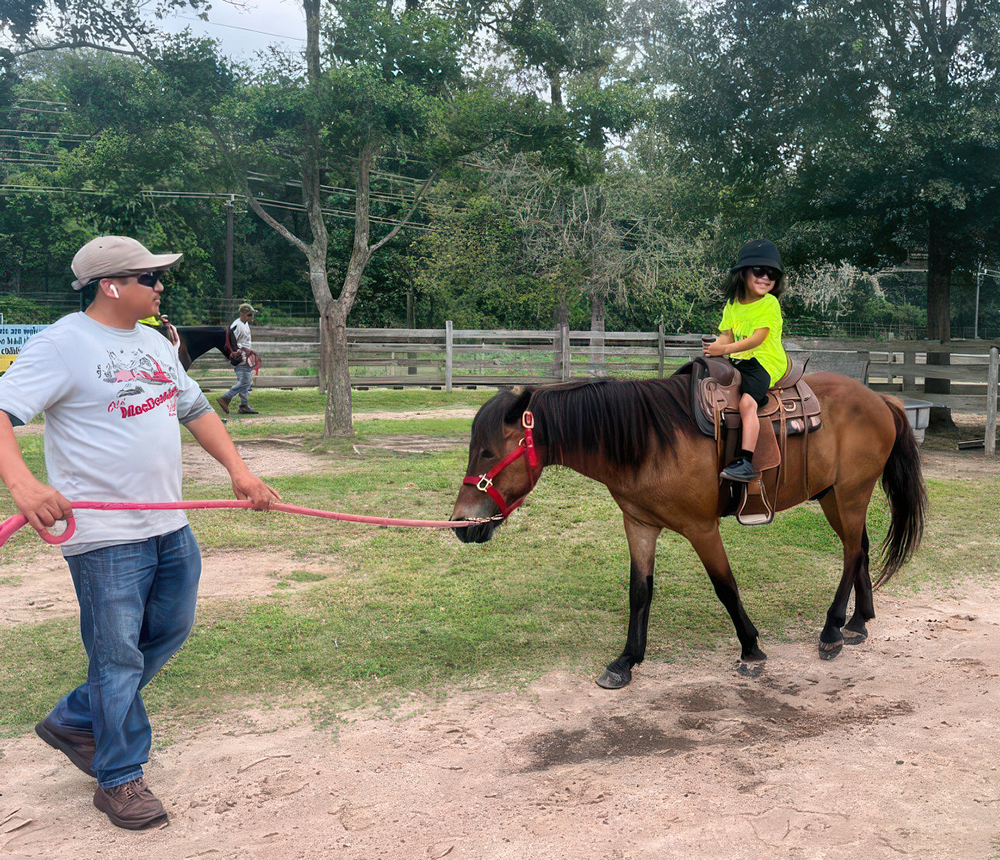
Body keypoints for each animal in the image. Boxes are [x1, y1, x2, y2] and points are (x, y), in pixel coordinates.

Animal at [450, 372, 924, 688]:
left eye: (489, 451)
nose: (460, 524)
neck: (648, 440)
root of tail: (879, 397)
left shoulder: (701, 529)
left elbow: (725, 587)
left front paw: (751, 650)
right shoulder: (639, 524)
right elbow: (640, 591)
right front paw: (626, 661)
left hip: (849, 494)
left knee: (851, 553)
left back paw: (831, 630)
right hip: (833, 495)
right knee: (860, 548)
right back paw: (858, 623)